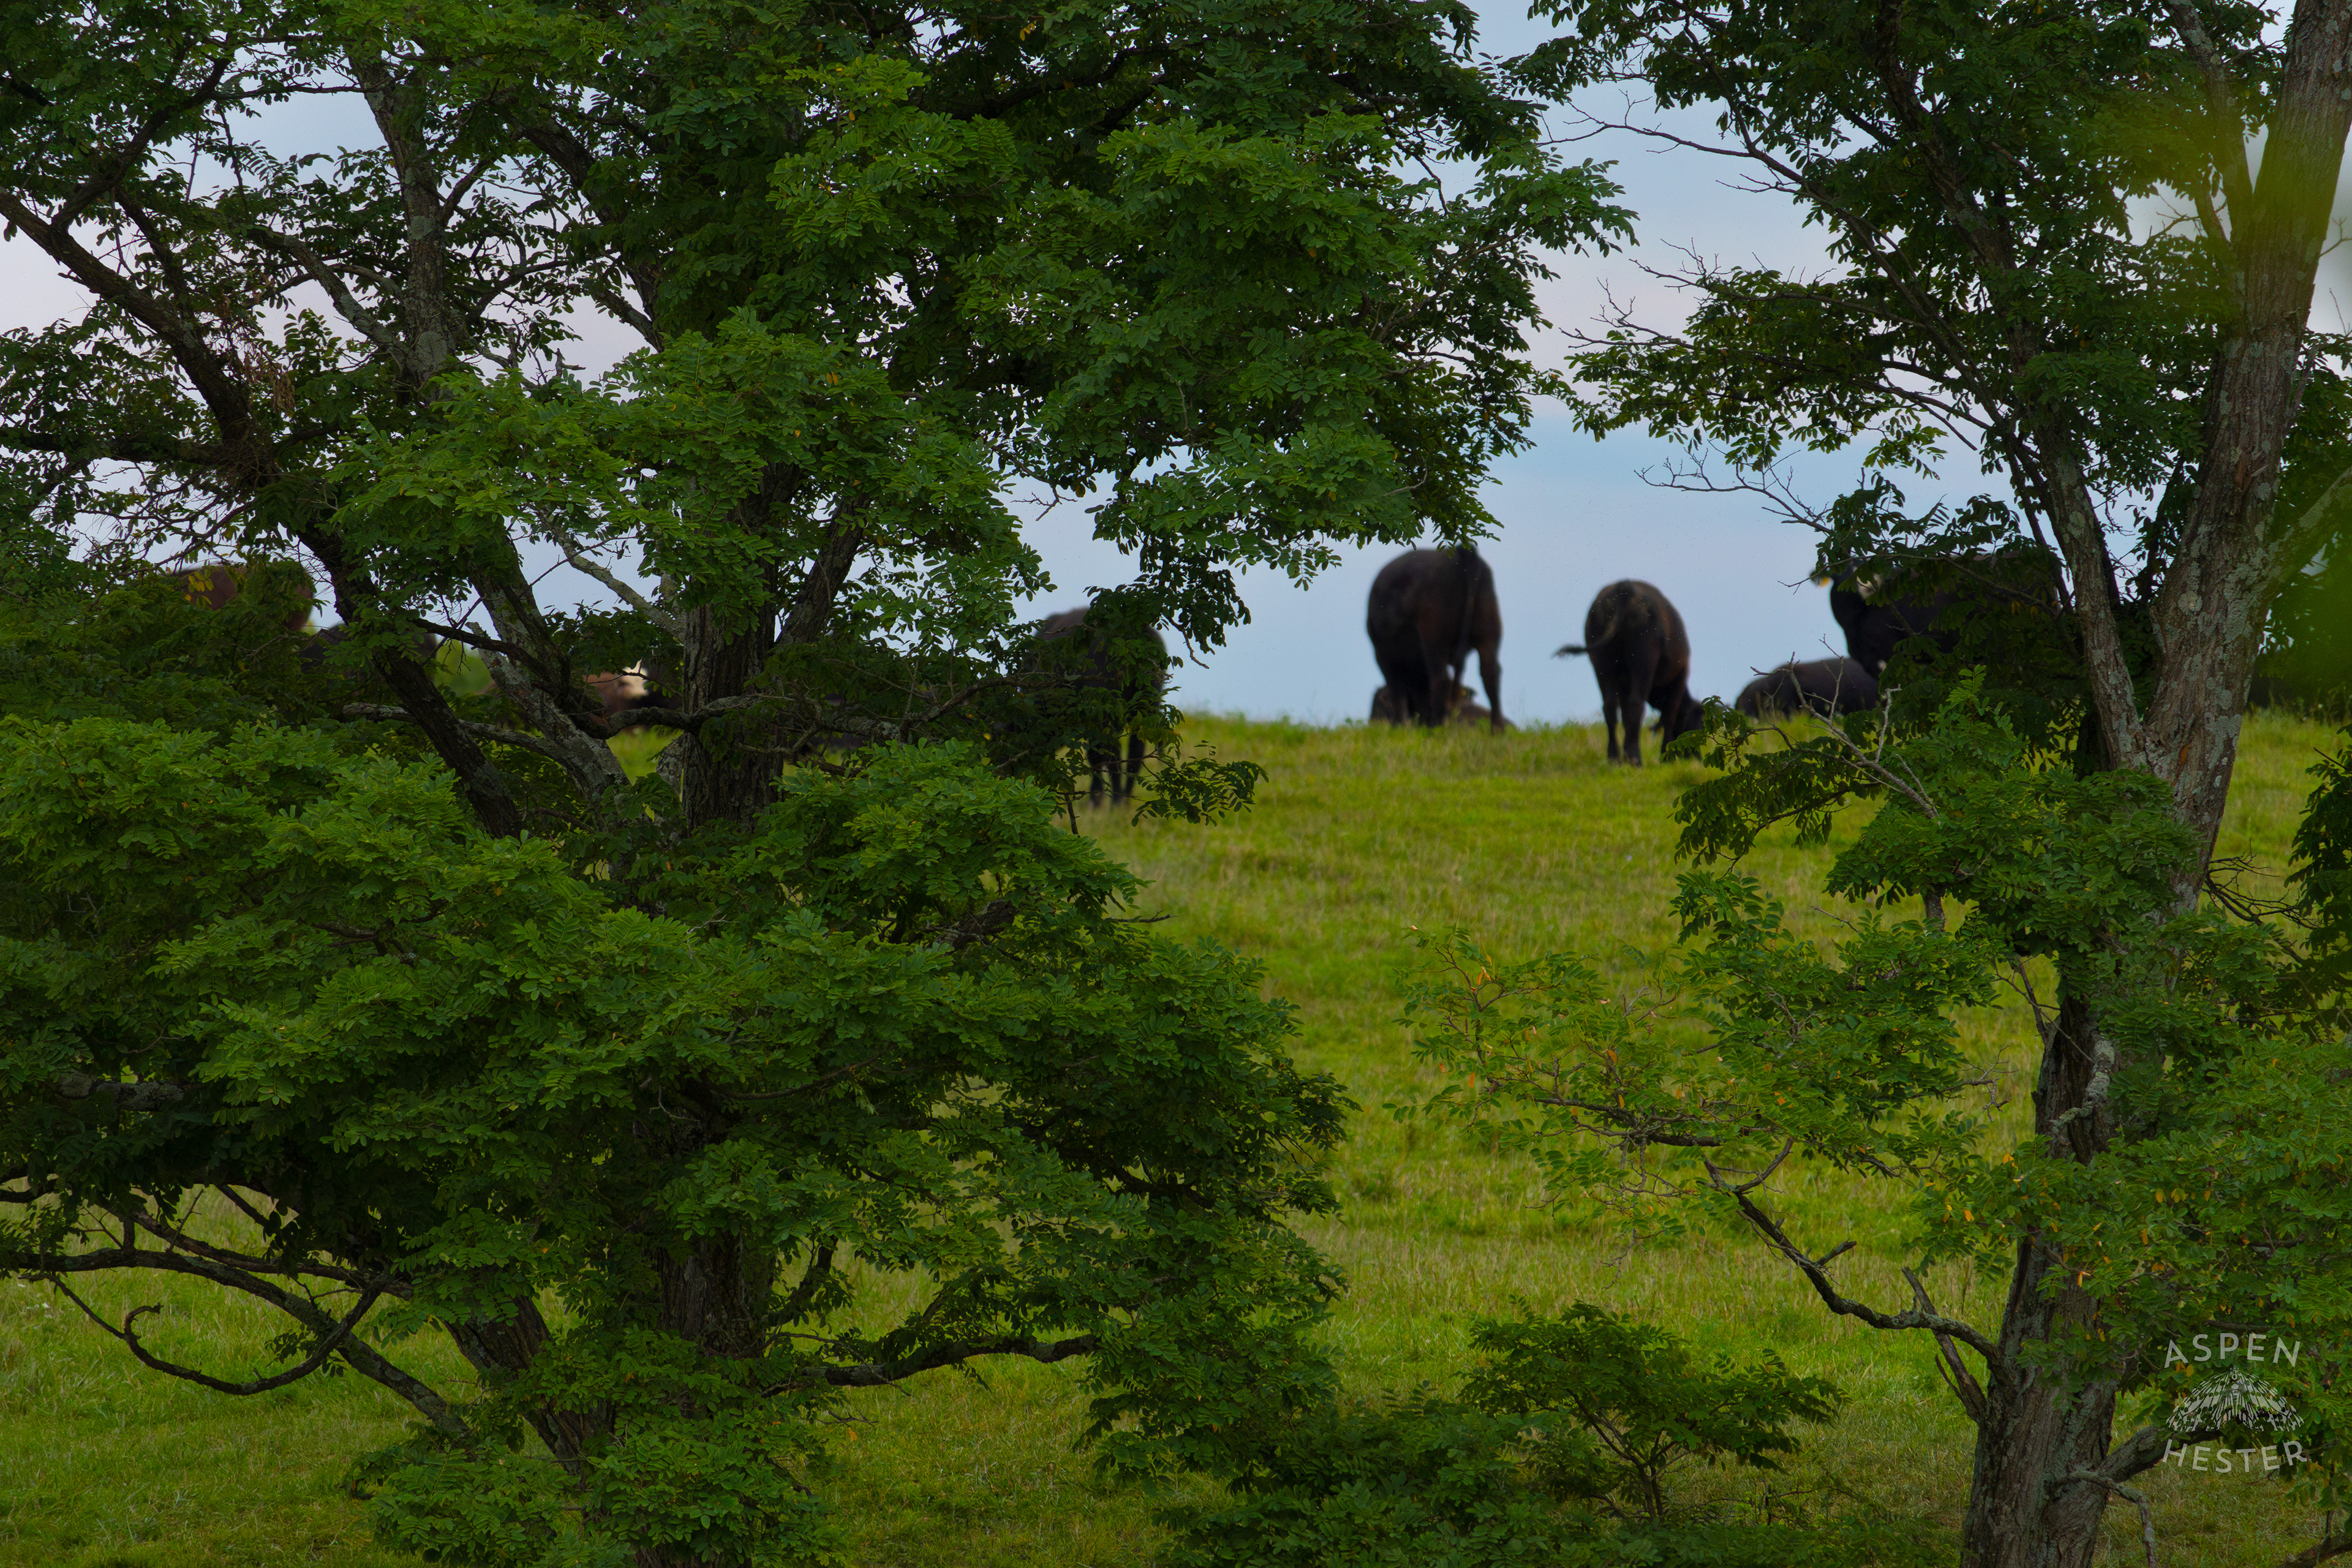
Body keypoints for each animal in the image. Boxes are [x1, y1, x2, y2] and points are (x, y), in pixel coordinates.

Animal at [1035, 606, 1169, 806]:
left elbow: (1096, 757)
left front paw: (1095, 798)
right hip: (1146, 706)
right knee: (1135, 751)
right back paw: (1124, 800)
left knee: (1113, 754)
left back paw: (1116, 801)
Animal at [1364, 547, 1505, 733]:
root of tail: (1461, 552)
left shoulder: (1382, 655)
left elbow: (1396, 691)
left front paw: (1399, 726)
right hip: (1488, 634)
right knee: (1491, 674)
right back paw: (1497, 731)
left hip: (1434, 639)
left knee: (1440, 677)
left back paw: (1436, 727)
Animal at [1555, 580, 1702, 766]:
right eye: (1698, 726)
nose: (1698, 758)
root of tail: (1624, 586)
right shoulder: (1681, 676)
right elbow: (1669, 715)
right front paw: (1666, 756)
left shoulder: (1623, 683)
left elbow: (1626, 716)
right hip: (1643, 661)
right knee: (1636, 704)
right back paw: (1635, 759)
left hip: (1603, 664)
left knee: (1610, 707)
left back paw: (1614, 758)